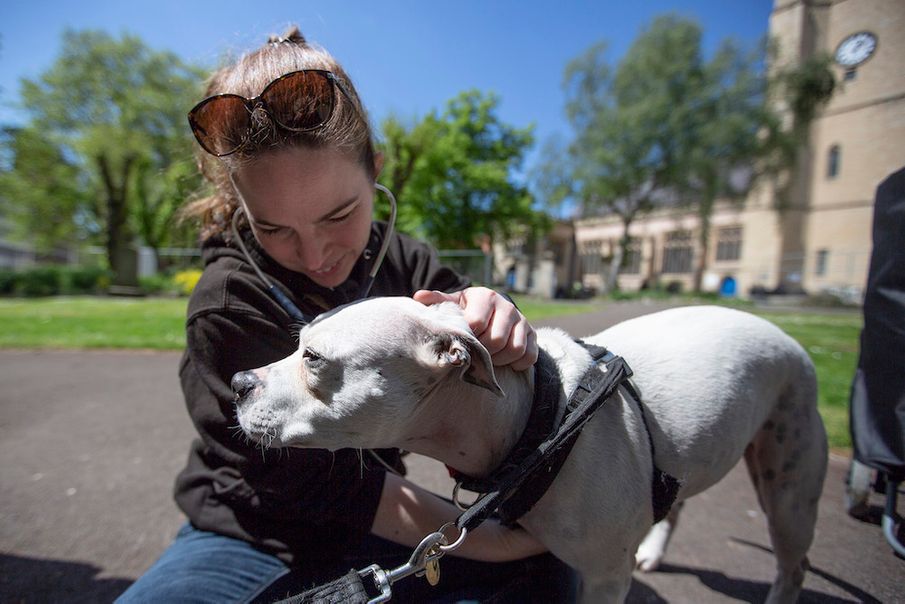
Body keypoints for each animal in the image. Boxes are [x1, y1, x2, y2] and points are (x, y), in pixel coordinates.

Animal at [231, 300, 828, 600]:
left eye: (312, 357)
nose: (236, 381)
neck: (541, 417)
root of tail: (789, 337)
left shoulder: (606, 579)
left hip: (789, 490)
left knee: (792, 568)